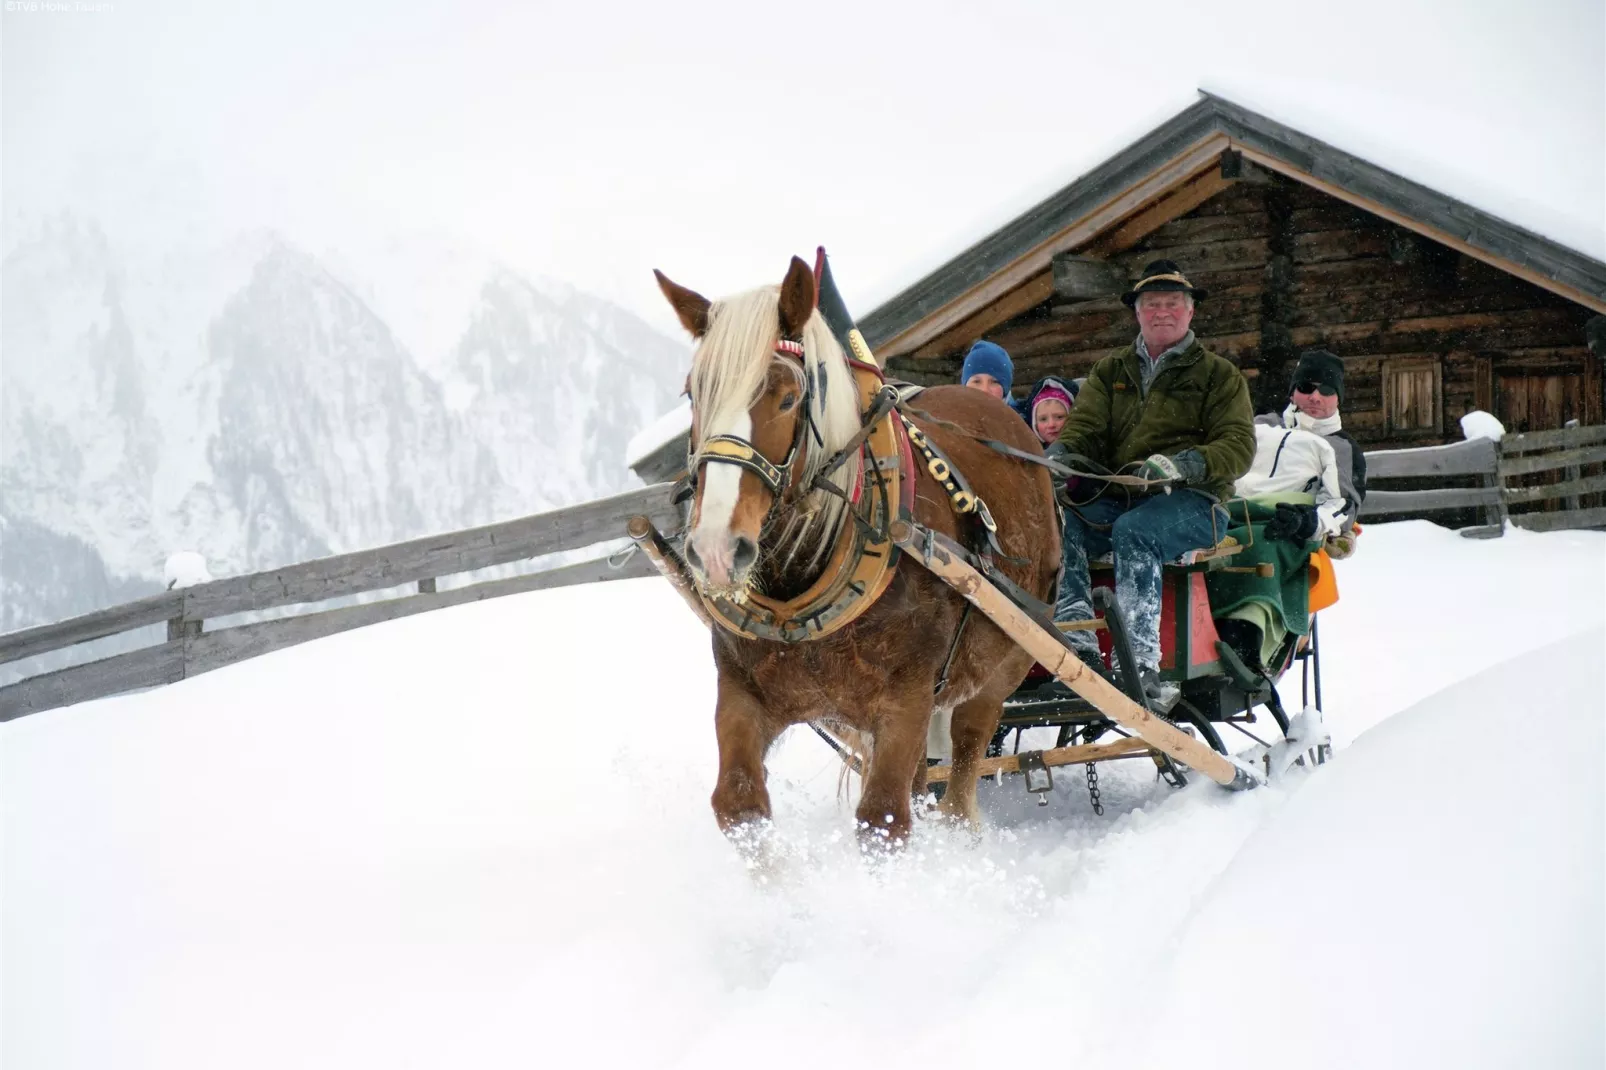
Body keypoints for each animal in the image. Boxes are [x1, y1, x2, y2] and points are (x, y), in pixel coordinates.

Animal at [658, 257, 1059, 841]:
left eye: (787, 396)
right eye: (695, 393)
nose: (715, 549)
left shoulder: (906, 695)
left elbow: (882, 819)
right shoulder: (743, 689)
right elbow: (738, 806)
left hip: (1009, 658)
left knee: (964, 764)